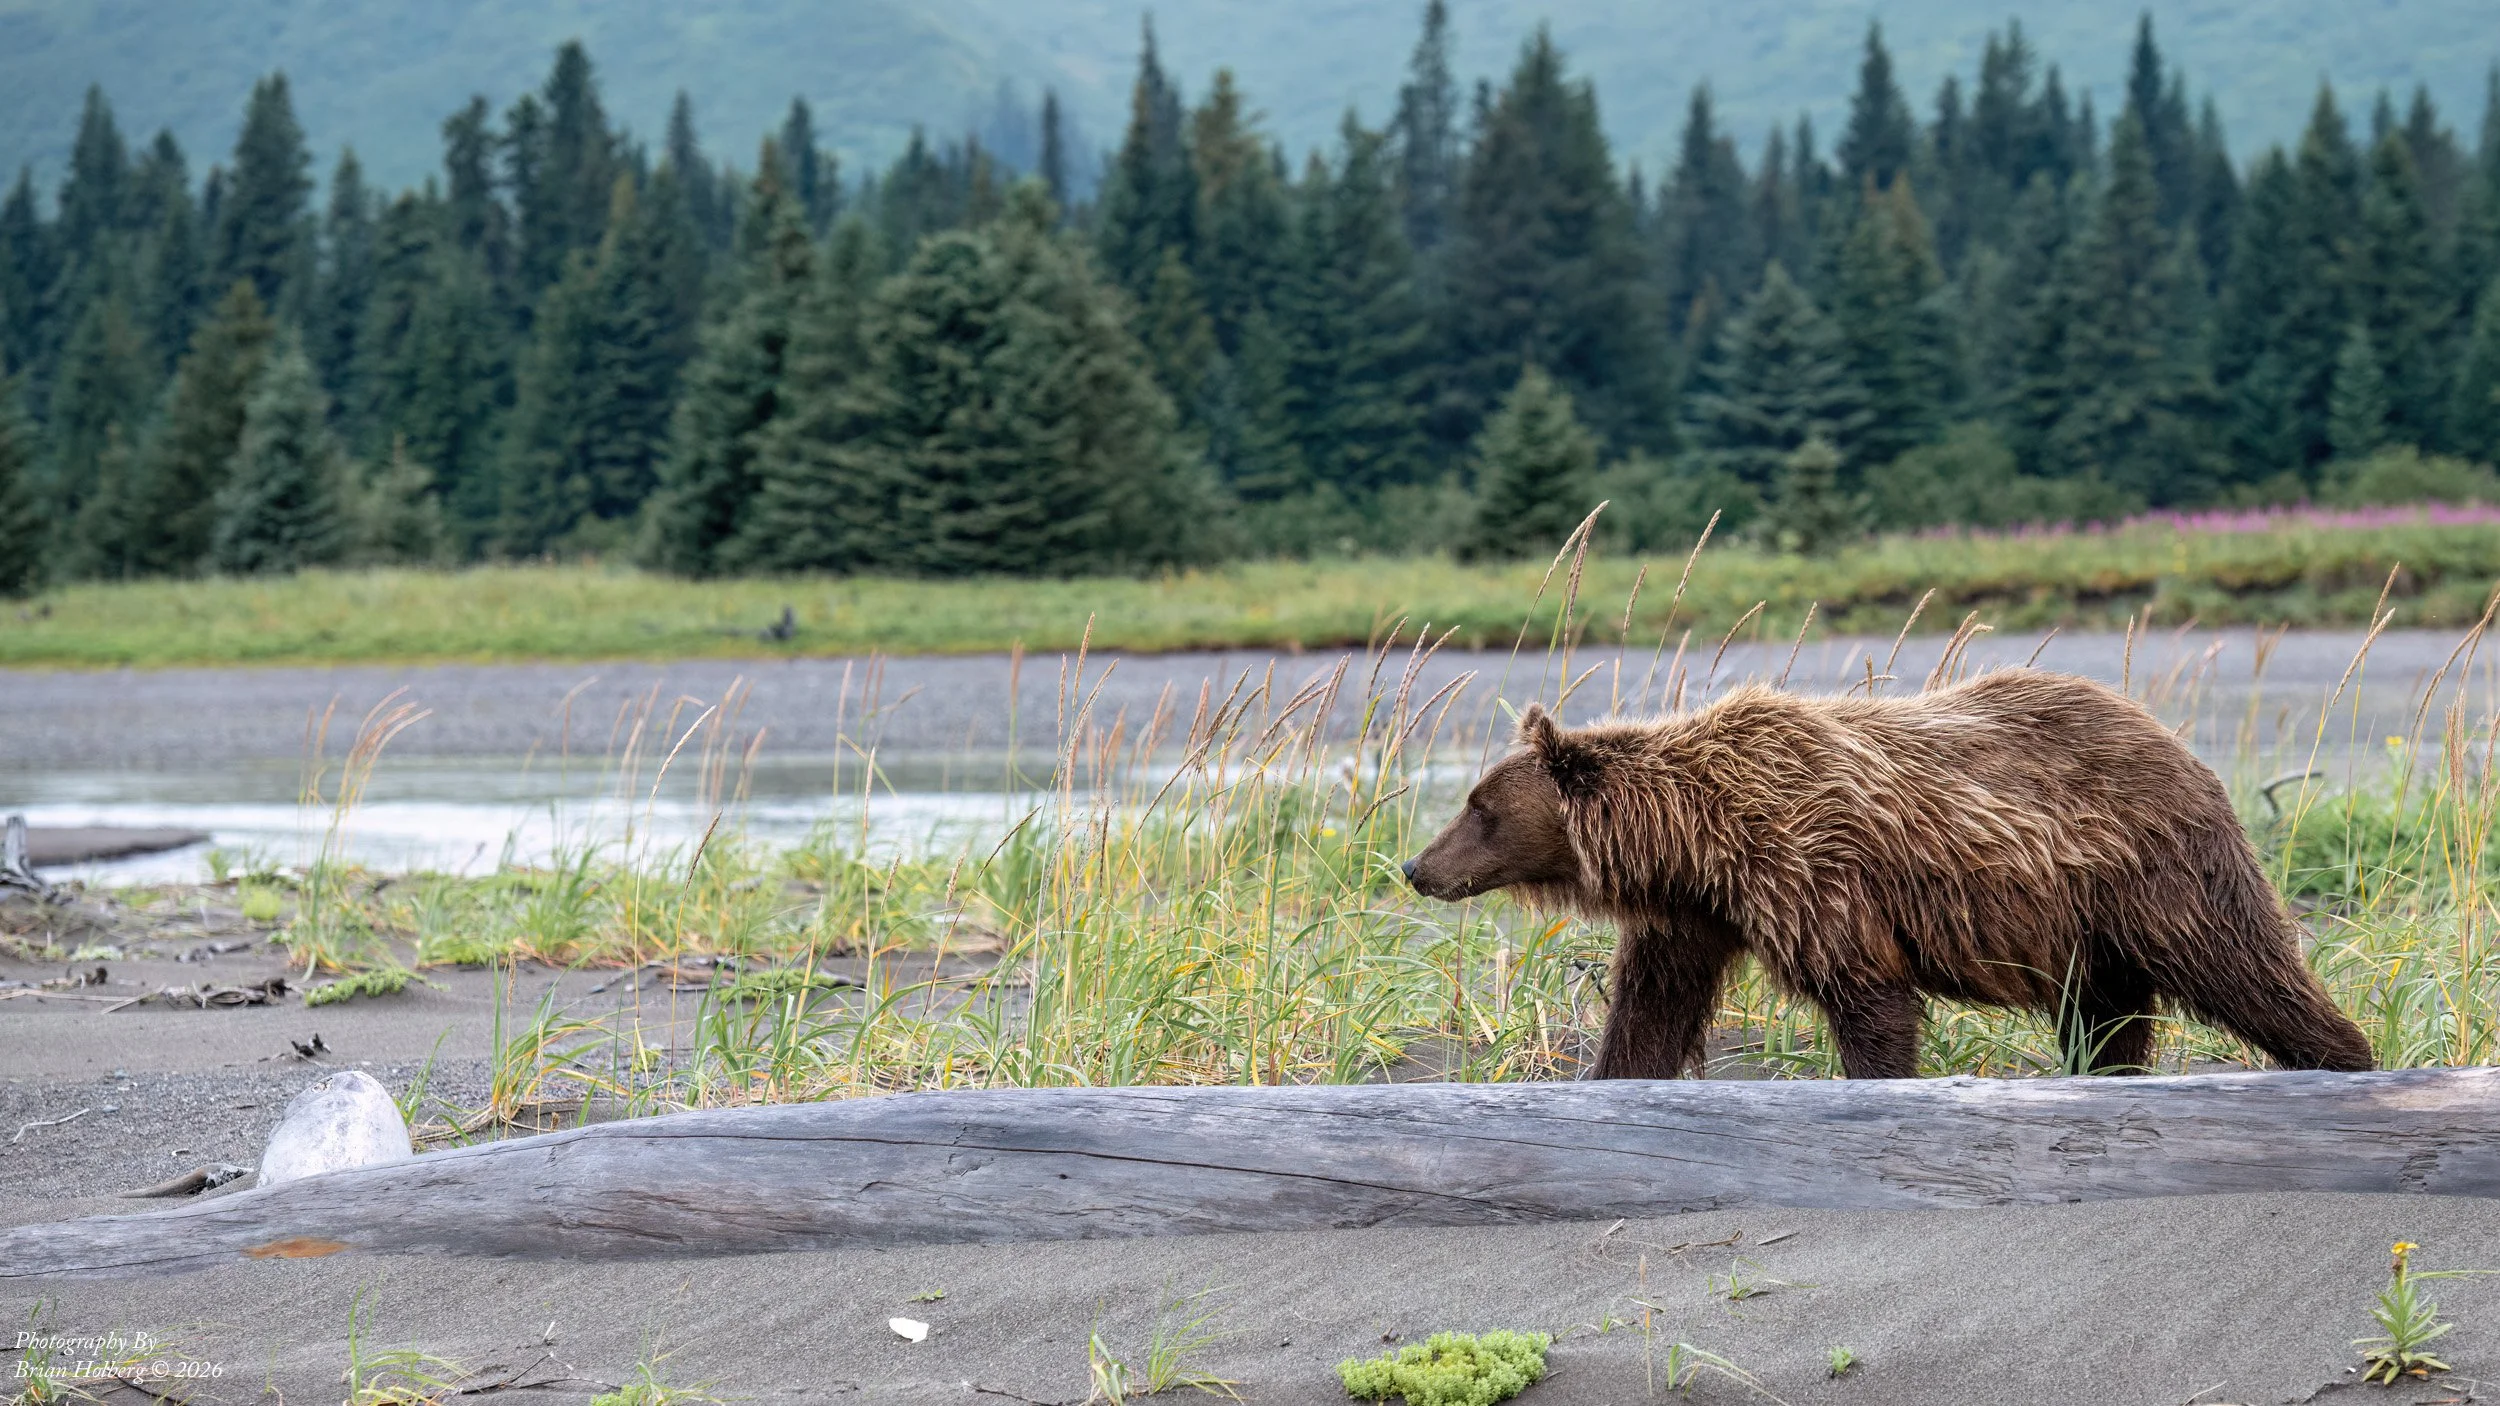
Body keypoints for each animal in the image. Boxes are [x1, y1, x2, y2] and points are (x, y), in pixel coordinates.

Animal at [1401, 667, 2375, 1080]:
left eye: (1480, 806)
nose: (1416, 866)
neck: (1694, 841)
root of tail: (2176, 743)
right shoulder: (1701, 913)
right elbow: (1651, 1006)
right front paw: (1613, 1077)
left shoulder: (1811, 872)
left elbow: (1868, 997)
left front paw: (1880, 1082)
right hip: (2087, 928)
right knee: (2107, 1015)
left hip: (2157, 872)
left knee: (2241, 965)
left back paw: (2341, 1055)